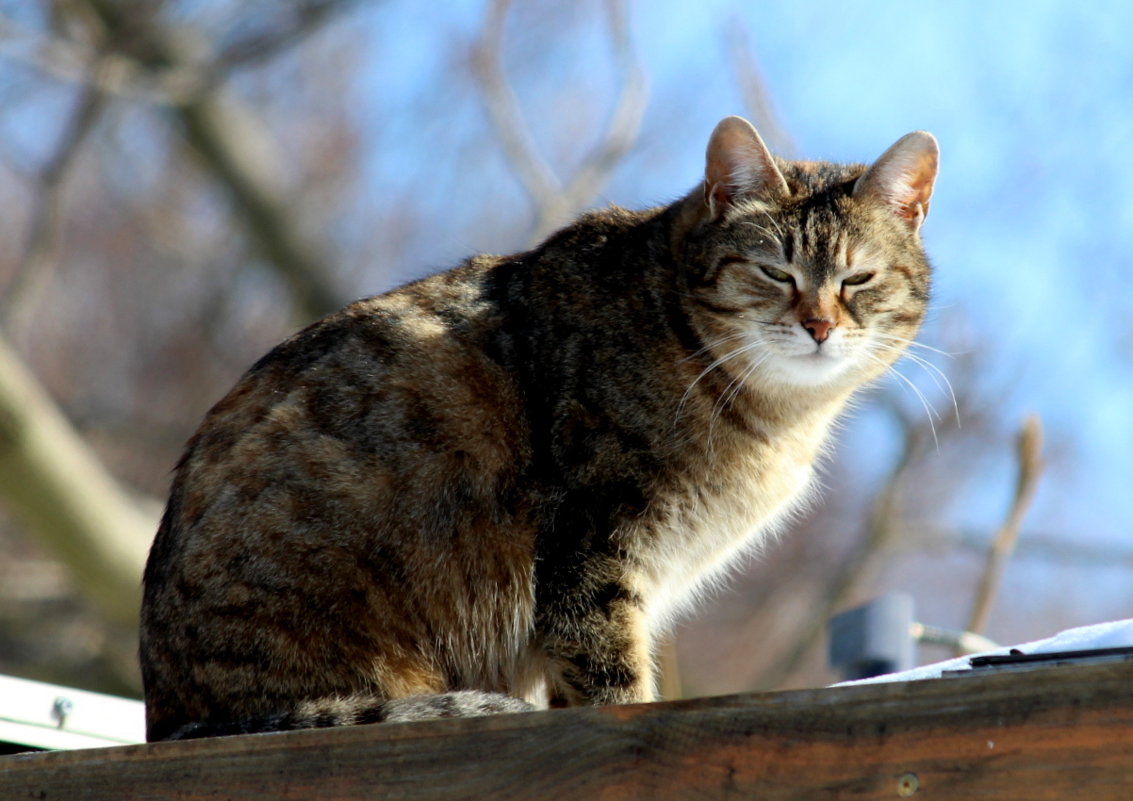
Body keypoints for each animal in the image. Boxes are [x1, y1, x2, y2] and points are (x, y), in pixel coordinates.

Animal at [141, 116, 938, 743]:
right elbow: (612, 681)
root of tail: (171, 719)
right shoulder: (592, 546)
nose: (818, 326)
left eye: (858, 279)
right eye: (775, 273)